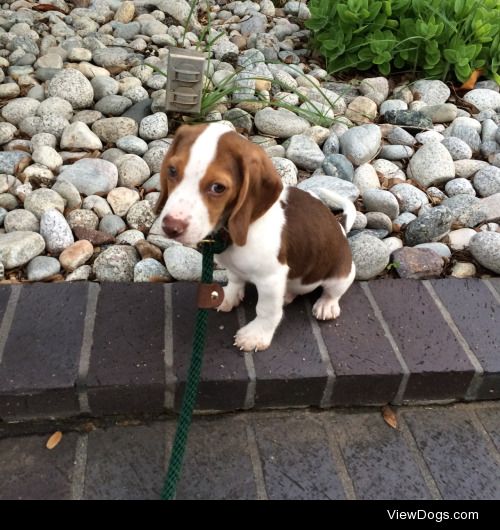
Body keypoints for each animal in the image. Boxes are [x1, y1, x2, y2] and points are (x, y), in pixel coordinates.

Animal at [156, 122, 356, 350]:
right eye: (172, 170)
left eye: (218, 188)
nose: (171, 227)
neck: (234, 231)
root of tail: (341, 228)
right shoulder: (235, 268)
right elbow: (235, 280)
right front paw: (229, 296)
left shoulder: (271, 278)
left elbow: (266, 310)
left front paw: (256, 335)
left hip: (340, 275)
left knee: (333, 292)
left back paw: (326, 304)